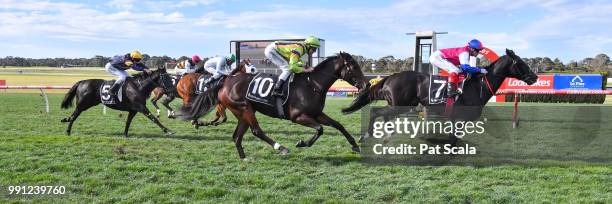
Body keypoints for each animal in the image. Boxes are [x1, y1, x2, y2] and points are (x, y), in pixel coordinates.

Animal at [342, 48, 536, 143]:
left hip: (399, 105)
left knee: (384, 116)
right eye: (520, 62)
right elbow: (454, 139)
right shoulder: (459, 118)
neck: (478, 85)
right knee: (376, 112)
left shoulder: (456, 119)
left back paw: (386, 136)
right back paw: (366, 136)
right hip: (400, 105)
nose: (534, 77)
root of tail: (390, 76)